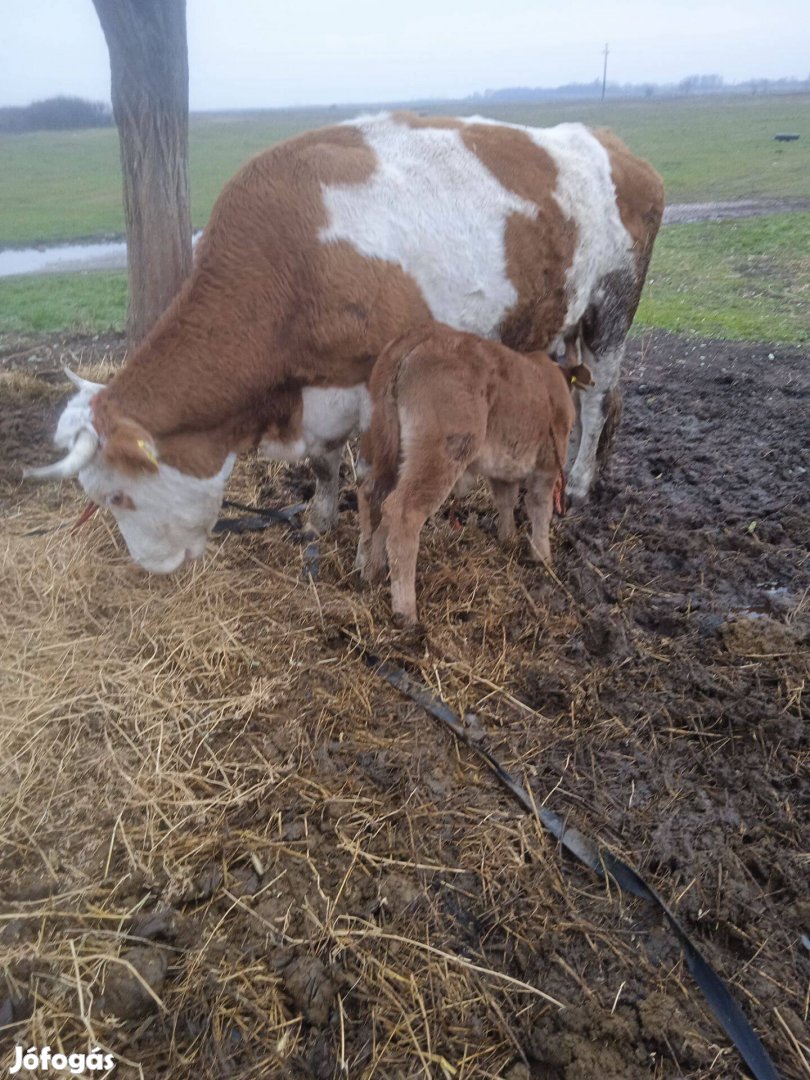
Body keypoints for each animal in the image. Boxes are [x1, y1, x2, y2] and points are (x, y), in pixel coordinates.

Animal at [30, 111, 665, 574]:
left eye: (117, 497)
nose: (152, 567)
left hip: (612, 305)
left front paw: (368, 552)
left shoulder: (373, 378)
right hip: (566, 324)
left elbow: (372, 478)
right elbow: (324, 461)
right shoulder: (322, 385)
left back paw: (578, 483)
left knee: (598, 398)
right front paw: (319, 516)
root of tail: (611, 144)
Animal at [360, 319, 591, 626]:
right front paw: (542, 555)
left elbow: (505, 498)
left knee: (371, 495)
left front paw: (508, 538)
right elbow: (539, 507)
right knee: (402, 511)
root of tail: (421, 335)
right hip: (442, 452)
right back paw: (406, 611)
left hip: (385, 447)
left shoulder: (504, 467)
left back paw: (370, 571)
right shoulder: (548, 462)